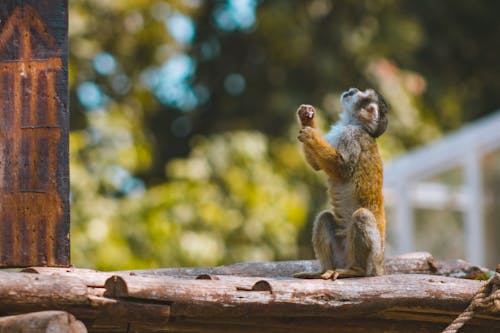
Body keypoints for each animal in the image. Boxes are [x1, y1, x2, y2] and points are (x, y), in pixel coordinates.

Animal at [294, 87, 388, 278]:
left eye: (360, 94)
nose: (352, 90)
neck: (354, 123)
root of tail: (381, 268)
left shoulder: (351, 134)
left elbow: (343, 168)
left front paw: (312, 135)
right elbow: (316, 165)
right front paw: (307, 118)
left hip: (374, 260)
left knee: (362, 215)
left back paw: (357, 270)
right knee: (324, 218)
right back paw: (323, 270)